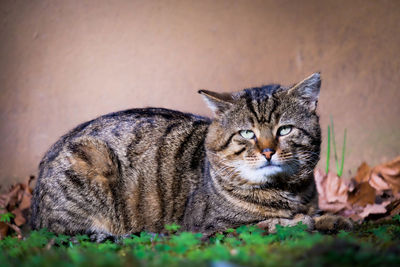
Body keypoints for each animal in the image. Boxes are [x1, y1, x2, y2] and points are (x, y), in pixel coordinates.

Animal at [30, 73, 350, 243]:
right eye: (247, 133)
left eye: (284, 129)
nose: (268, 151)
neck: (287, 190)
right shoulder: (210, 228)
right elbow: (272, 224)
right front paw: (304, 222)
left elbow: (311, 215)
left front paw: (332, 219)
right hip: (92, 160)